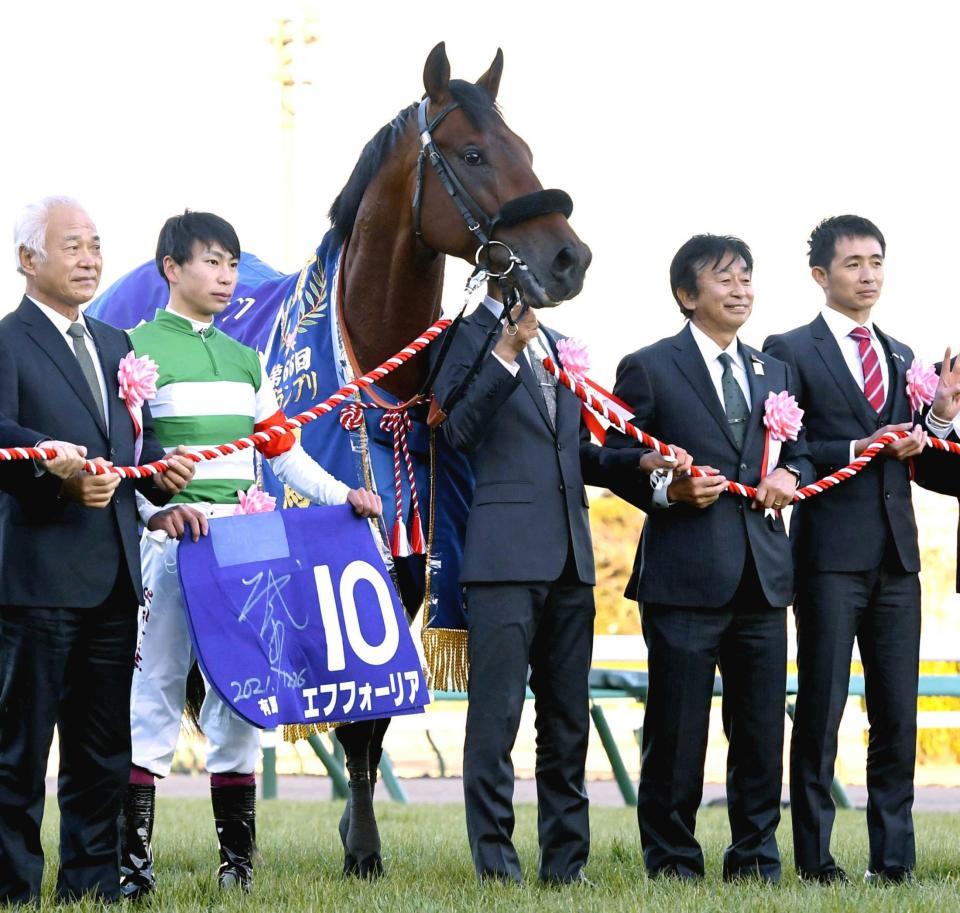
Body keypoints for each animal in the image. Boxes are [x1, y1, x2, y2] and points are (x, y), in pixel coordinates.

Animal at [88, 42, 592, 876]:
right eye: (475, 153)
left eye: (525, 148)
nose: (567, 258)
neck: (371, 384)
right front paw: (361, 847)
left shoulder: (405, 566)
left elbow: (372, 721)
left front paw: (360, 842)